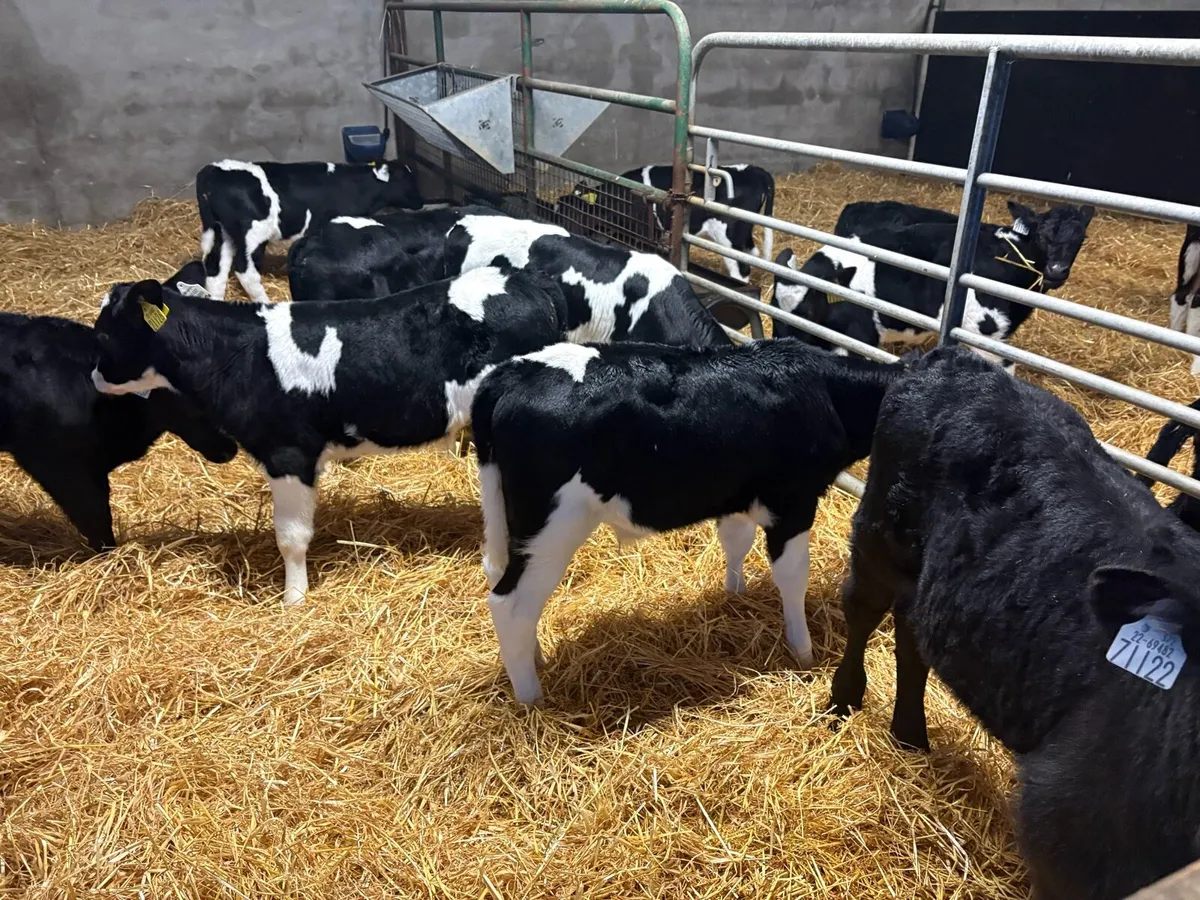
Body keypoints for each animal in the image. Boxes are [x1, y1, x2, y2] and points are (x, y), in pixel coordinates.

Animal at [90, 267, 569, 605]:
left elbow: (291, 536)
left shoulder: (288, 452)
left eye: (104, 332)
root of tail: (530, 282)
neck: (235, 355)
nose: (94, 375)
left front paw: (293, 600)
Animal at [196, 159, 422, 304]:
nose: (421, 201)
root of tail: (213, 170)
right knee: (245, 271)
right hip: (251, 234)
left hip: (218, 230)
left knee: (215, 268)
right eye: (406, 179)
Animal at [470, 339, 906, 705]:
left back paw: (537, 658)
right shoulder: (793, 502)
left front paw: (735, 594)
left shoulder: (736, 495)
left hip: (506, 519)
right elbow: (793, 576)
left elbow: (736, 541)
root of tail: (510, 373)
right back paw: (532, 700)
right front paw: (803, 651)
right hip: (552, 529)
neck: (823, 389)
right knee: (510, 605)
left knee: (497, 572)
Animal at [828, 345, 1200, 900]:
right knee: (861, 611)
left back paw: (910, 736)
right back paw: (842, 703)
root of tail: (953, 356)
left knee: (913, 641)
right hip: (880, 537)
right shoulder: (1069, 835)